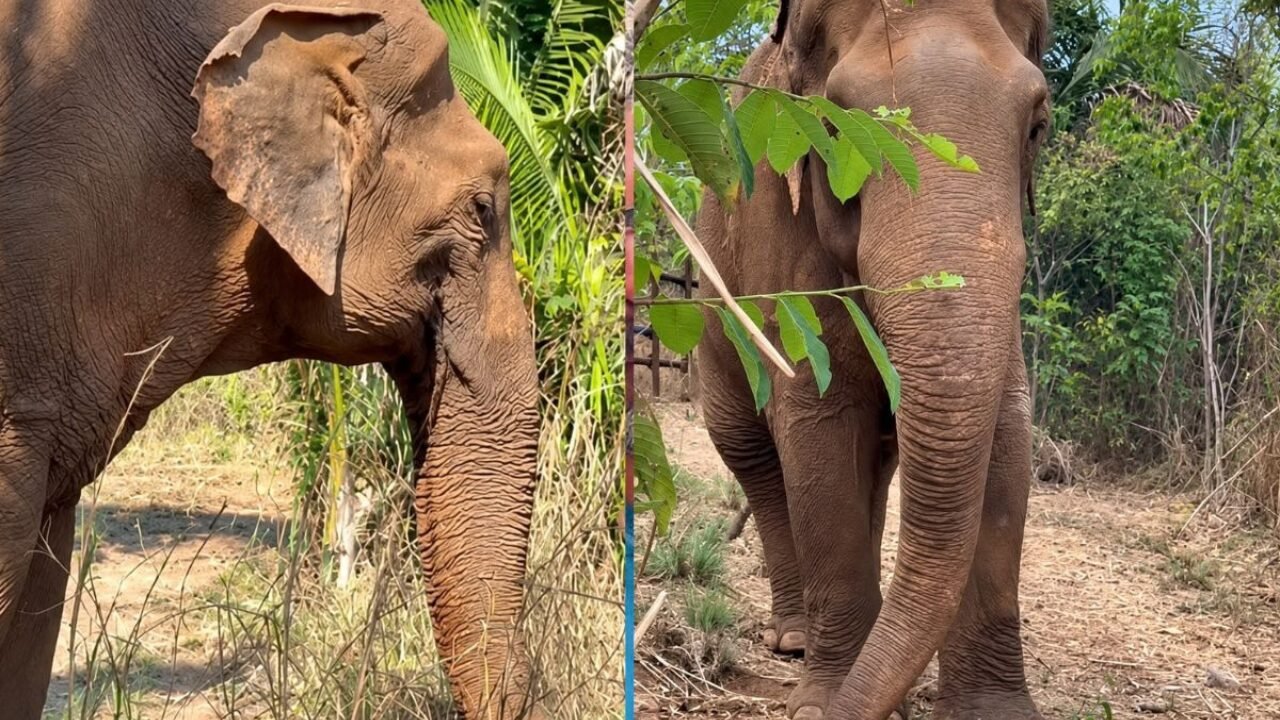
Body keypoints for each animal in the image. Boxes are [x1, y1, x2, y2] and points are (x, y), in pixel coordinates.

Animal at [695, 1, 1050, 718]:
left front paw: (992, 711)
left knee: (877, 470)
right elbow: (818, 425)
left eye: (1038, 125)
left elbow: (1006, 439)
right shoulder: (780, 230)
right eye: (833, 128)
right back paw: (794, 638)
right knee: (755, 458)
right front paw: (822, 702)